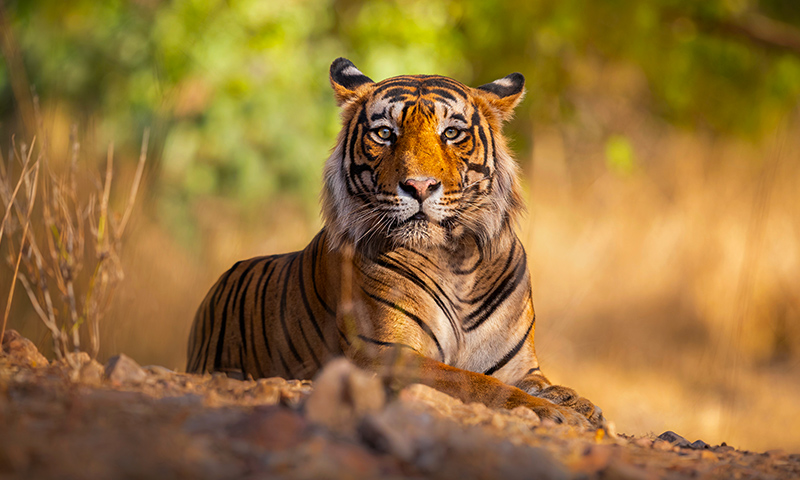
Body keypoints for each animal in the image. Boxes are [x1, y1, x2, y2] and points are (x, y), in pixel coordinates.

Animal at [187, 57, 604, 428]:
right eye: (385, 133)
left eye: (451, 133)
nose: (419, 186)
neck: (456, 262)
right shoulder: (386, 355)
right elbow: (476, 383)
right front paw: (556, 413)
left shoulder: (518, 364)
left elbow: (539, 385)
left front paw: (578, 404)